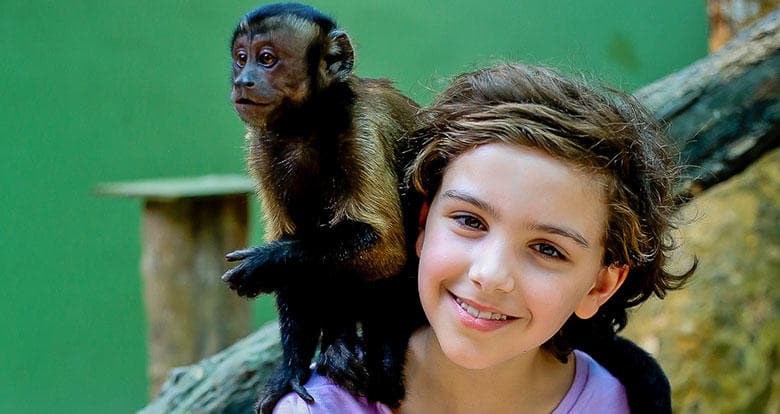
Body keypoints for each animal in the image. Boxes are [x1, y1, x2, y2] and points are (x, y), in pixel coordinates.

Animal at [221, 3, 424, 413]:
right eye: (241, 59)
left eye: (266, 59)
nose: (244, 81)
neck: (306, 124)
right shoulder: (262, 149)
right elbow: (290, 247)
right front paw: (291, 370)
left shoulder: (361, 127)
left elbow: (386, 248)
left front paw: (264, 264)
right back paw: (339, 344)